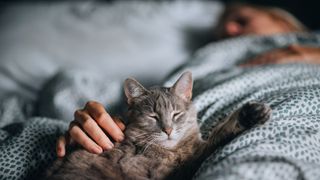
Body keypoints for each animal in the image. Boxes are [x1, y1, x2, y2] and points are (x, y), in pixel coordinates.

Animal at [43, 71, 272, 180]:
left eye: (176, 114)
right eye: (153, 116)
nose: (168, 130)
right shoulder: (179, 170)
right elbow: (218, 134)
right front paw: (248, 114)